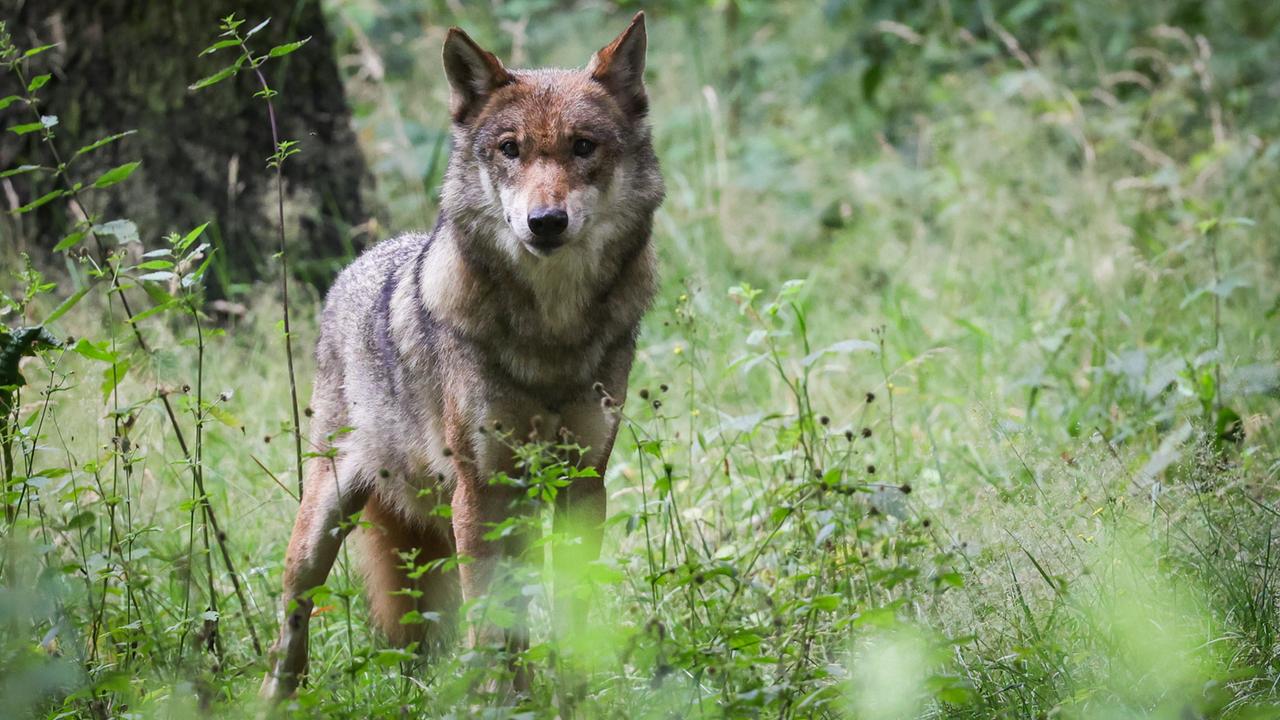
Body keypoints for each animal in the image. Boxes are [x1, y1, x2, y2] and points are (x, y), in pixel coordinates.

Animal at [259, 12, 663, 701]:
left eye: (583, 147)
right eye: (509, 149)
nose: (545, 221)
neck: (551, 334)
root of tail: (358, 265)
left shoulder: (583, 483)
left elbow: (571, 609)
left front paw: (572, 694)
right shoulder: (480, 489)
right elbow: (488, 619)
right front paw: (497, 702)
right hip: (323, 523)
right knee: (292, 617)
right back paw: (276, 699)